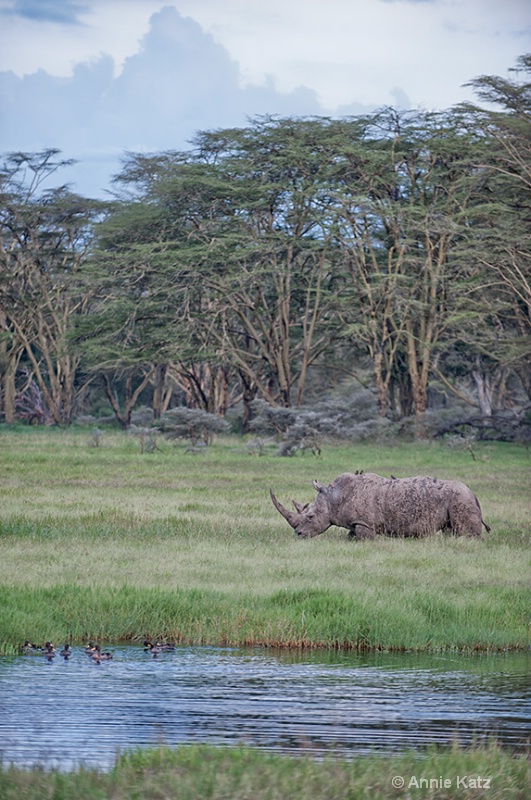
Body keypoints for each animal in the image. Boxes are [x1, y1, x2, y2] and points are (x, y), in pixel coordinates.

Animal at [270, 472, 490, 540]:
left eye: (310, 517)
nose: (298, 534)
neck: (333, 497)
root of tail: (473, 493)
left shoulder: (365, 523)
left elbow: (363, 538)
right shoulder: (356, 522)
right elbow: (350, 536)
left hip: (460, 498)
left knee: (465, 533)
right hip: (458, 499)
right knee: (450, 530)